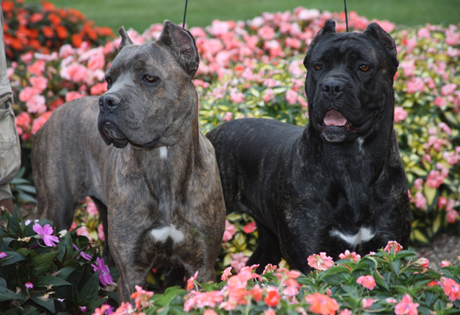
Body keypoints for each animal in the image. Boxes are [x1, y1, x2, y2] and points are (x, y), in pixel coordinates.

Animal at [207, 20, 412, 276]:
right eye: (318, 66)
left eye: (364, 67)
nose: (332, 86)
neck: (351, 161)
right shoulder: (311, 257)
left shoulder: (389, 248)